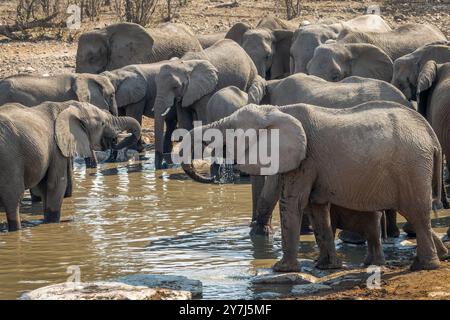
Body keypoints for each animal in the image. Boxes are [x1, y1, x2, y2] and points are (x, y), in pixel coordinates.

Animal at [0, 101, 141, 231]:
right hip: (10, 159)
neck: (67, 106)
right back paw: (16, 230)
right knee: (14, 199)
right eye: (102, 123)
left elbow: (43, 187)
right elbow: (56, 184)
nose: (114, 140)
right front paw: (52, 224)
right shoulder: (56, 146)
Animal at [154, 38, 262, 169]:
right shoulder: (185, 93)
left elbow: (202, 119)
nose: (162, 166)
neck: (183, 64)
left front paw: (199, 157)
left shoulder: (206, 90)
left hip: (251, 73)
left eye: (175, 86)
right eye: (156, 84)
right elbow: (185, 122)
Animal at [181, 103, 448, 272]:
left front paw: (281, 269)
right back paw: (432, 260)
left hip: (412, 167)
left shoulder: (305, 160)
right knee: (414, 215)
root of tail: (432, 136)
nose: (213, 178)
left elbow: (293, 203)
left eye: (231, 132)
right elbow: (316, 208)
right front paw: (325, 266)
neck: (277, 111)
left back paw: (424, 266)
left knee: (416, 212)